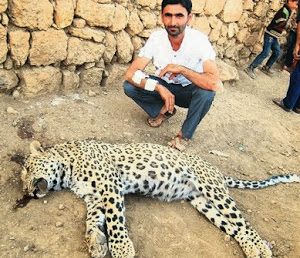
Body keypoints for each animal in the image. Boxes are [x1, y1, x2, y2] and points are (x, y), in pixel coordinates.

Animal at [19, 139, 298, 258]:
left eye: (27, 170)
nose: (27, 193)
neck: (68, 170)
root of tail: (215, 170)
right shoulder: (95, 198)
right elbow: (91, 222)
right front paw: (96, 243)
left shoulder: (111, 186)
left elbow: (115, 222)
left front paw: (121, 249)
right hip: (203, 203)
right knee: (233, 227)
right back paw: (252, 250)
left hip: (214, 191)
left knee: (244, 223)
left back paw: (261, 248)